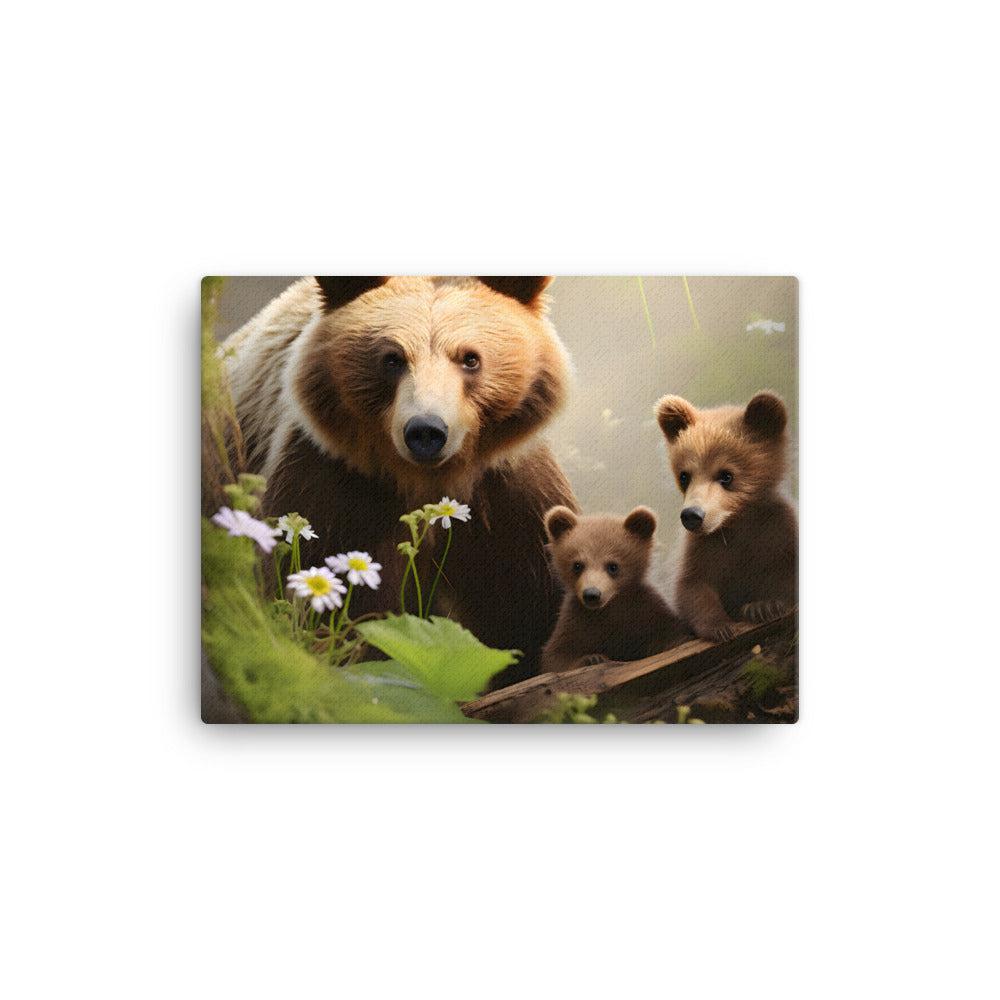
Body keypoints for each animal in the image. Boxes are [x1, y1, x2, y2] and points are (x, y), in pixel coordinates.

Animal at [219, 276, 578, 688]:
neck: (428, 483)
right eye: (392, 358)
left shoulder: (509, 501)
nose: (426, 430)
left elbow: (531, 606)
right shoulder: (332, 486)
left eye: (470, 357)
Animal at [540, 505, 690, 674]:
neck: (611, 606)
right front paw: (592, 658)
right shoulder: (575, 620)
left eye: (613, 566)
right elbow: (556, 656)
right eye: (577, 565)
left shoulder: (647, 611)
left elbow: (673, 635)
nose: (592, 594)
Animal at [654, 391, 797, 642]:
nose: (692, 515)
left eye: (726, 475)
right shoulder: (703, 549)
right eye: (684, 476)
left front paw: (763, 606)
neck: (736, 522)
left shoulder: (778, 530)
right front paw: (720, 626)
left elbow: (786, 574)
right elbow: (692, 586)